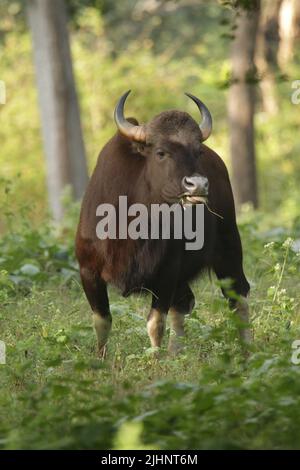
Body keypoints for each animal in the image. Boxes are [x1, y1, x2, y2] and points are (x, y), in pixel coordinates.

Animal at [75, 91, 251, 356]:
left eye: (198, 151)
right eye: (160, 152)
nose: (198, 185)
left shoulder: (167, 271)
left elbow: (155, 323)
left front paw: (156, 359)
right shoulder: (88, 270)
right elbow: (102, 321)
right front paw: (100, 358)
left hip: (229, 247)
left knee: (238, 296)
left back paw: (249, 350)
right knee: (184, 303)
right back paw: (176, 352)